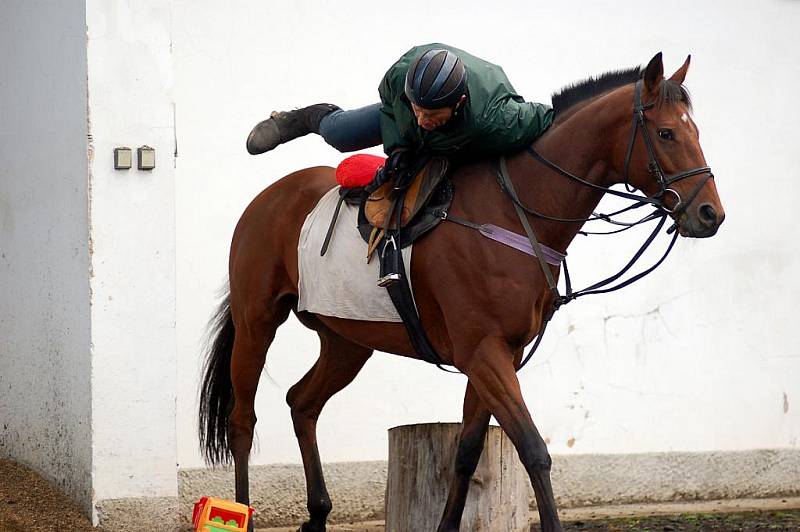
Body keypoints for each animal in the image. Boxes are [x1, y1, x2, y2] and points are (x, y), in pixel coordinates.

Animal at [198, 53, 724, 532]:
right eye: (666, 134)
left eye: (695, 132)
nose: (709, 214)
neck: (514, 210)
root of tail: (270, 197)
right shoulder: (483, 350)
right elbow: (533, 449)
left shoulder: (499, 354)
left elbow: (468, 452)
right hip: (257, 321)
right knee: (243, 420)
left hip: (347, 340)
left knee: (302, 402)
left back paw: (318, 513)